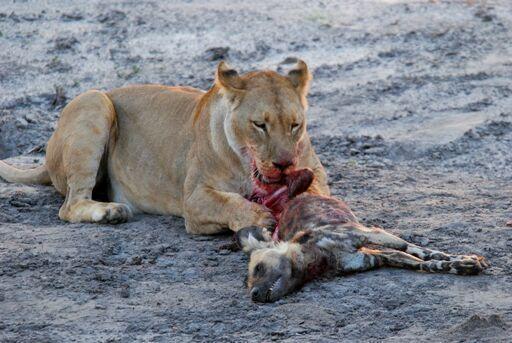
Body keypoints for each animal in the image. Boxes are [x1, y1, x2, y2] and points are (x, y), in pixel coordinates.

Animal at [236, 168, 488, 302]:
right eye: (248, 283)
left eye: (259, 268)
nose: (254, 295)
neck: (320, 255)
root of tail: (291, 199)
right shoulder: (376, 256)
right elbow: (423, 264)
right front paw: (458, 266)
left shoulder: (372, 235)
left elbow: (418, 251)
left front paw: (464, 261)